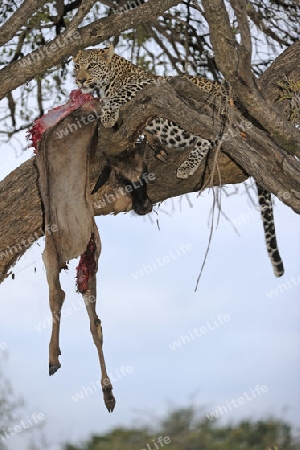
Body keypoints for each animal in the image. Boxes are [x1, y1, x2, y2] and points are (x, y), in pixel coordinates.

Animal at [72, 45, 284, 278]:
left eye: (91, 65)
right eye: (77, 66)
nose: (80, 80)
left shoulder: (149, 84)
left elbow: (121, 94)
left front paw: (109, 113)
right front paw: (151, 143)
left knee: (206, 136)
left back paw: (186, 166)